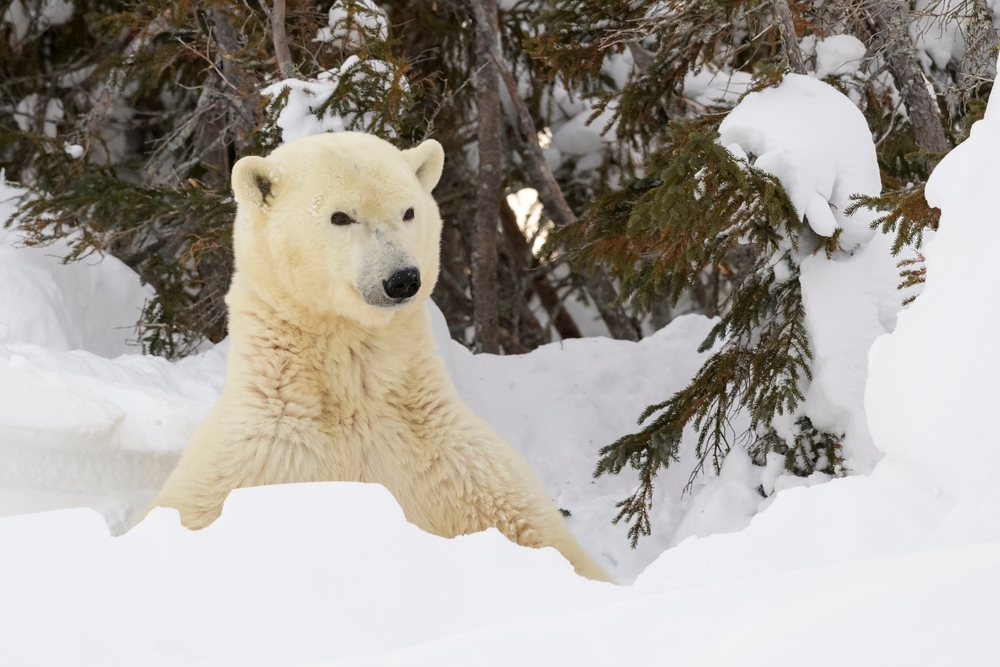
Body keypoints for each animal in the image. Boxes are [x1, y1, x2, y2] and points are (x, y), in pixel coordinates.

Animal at [145, 133, 612, 580]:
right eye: (340, 216)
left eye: (408, 211)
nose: (402, 279)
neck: (356, 393)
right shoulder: (261, 458)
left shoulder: (450, 457)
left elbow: (535, 530)